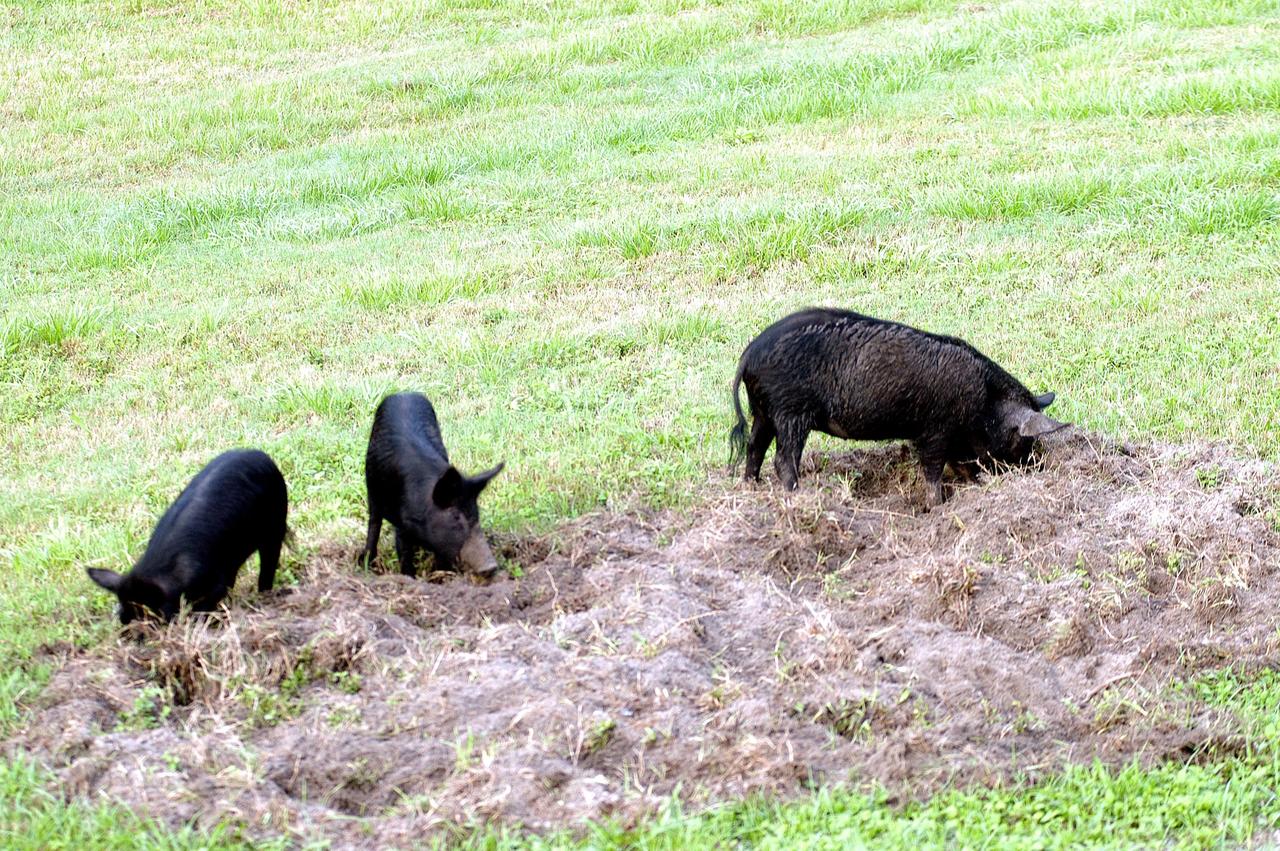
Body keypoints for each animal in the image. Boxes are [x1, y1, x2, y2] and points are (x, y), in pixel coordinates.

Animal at [87, 448, 288, 624]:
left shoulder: (214, 582)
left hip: (276, 524)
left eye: (152, 615)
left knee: (268, 564)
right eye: (124, 618)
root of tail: (260, 454)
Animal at [359, 392, 504, 580]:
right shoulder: (402, 524)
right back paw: (365, 562)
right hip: (372, 488)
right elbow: (404, 554)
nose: (492, 566)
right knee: (374, 521)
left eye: (476, 514)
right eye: (455, 516)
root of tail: (404, 393)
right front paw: (410, 578)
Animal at [729, 308, 1067, 507]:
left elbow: (959, 465)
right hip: (791, 412)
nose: (1032, 469)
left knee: (754, 448)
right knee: (783, 460)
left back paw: (751, 488)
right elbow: (933, 472)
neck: (984, 402)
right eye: (1023, 441)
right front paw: (938, 507)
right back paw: (798, 498)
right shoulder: (935, 431)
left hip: (763, 412)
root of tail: (748, 355)